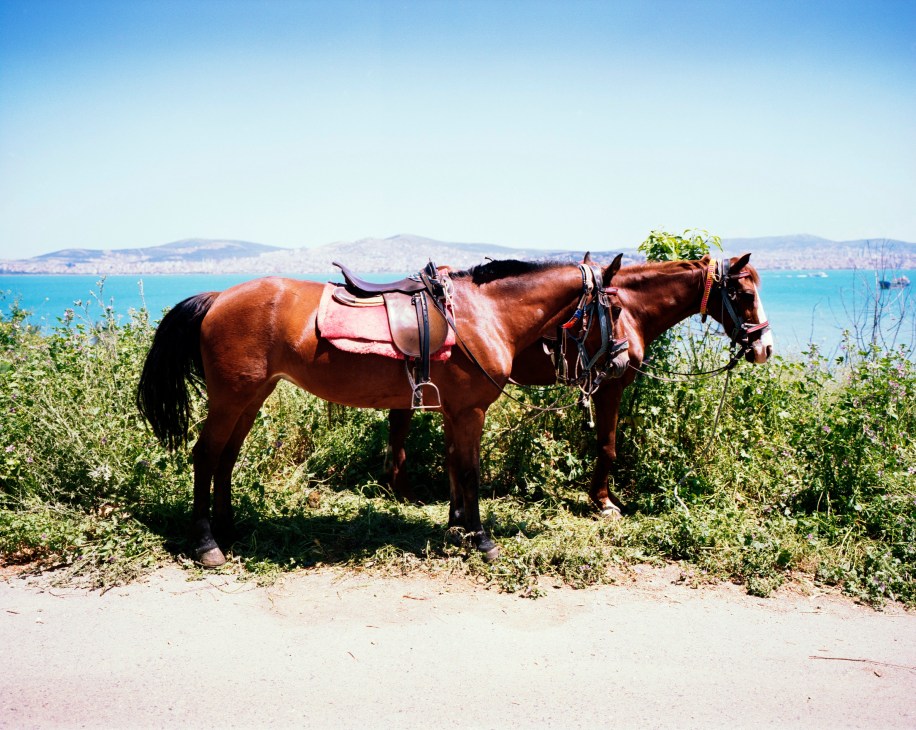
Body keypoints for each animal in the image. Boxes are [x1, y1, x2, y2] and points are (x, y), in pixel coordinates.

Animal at [136, 254, 628, 566]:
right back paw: (206, 543)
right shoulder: (470, 411)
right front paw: (483, 539)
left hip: (251, 397)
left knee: (226, 457)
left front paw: (458, 529)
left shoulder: (454, 411)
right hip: (230, 398)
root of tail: (219, 297)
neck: (482, 314)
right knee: (205, 456)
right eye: (618, 308)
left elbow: (455, 466)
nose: (623, 361)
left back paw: (229, 527)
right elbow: (470, 471)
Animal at [387, 253, 774, 514]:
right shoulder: (610, 387)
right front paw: (602, 501)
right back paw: (401, 488)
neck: (631, 310)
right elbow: (607, 445)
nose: (764, 348)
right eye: (746, 295)